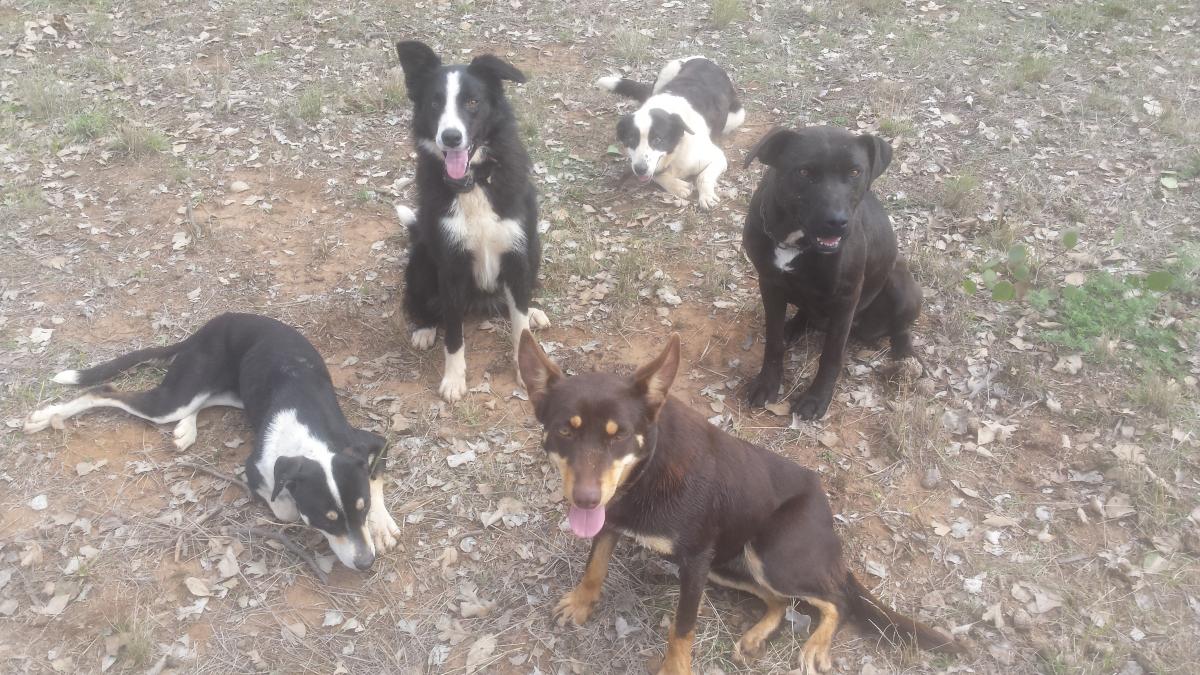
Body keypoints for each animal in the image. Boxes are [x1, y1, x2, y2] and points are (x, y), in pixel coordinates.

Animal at [23, 309, 400, 566]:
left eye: (361, 509)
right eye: (326, 519)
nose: (365, 563)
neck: (309, 439)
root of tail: (211, 325)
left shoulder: (367, 441)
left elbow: (375, 476)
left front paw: (381, 525)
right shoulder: (256, 468)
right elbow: (285, 510)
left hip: (231, 392)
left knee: (204, 400)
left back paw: (185, 429)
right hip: (176, 395)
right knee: (106, 390)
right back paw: (46, 416)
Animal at [396, 40, 549, 398]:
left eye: (472, 102)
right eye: (435, 102)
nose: (451, 137)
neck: (475, 182)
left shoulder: (517, 254)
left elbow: (519, 325)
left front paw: (525, 368)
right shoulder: (451, 267)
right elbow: (454, 334)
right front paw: (454, 379)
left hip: (534, 249)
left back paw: (533, 311)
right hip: (421, 261)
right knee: (420, 302)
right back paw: (424, 328)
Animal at [516, 329, 955, 667]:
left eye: (619, 434)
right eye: (565, 431)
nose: (586, 500)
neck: (646, 473)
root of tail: (827, 515)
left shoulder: (694, 562)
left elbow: (681, 631)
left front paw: (675, 669)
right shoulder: (619, 525)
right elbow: (595, 565)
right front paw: (581, 602)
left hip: (771, 554)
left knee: (837, 600)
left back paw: (815, 645)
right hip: (727, 562)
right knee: (779, 602)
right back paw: (757, 635)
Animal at [597, 56, 739, 208]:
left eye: (658, 140)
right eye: (630, 139)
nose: (640, 169)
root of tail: (706, 60)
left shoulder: (717, 157)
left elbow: (702, 176)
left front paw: (706, 196)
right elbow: (656, 174)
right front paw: (678, 186)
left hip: (736, 117)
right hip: (667, 71)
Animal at [739, 126, 916, 417]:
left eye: (855, 171)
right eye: (804, 172)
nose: (837, 222)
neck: (795, 241)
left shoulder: (846, 298)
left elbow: (831, 355)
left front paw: (817, 398)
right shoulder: (769, 284)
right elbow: (773, 340)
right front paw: (768, 382)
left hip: (901, 284)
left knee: (901, 328)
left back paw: (906, 356)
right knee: (806, 314)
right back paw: (794, 327)